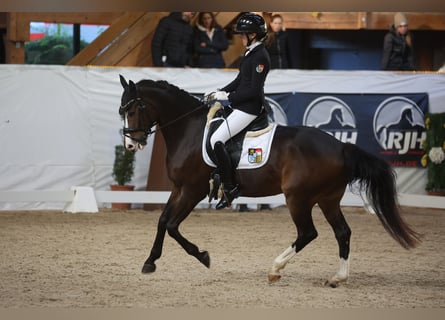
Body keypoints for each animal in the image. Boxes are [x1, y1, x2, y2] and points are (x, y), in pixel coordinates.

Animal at [116, 75, 418, 288]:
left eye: (134, 109)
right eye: (122, 111)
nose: (131, 145)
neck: (190, 130)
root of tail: (341, 146)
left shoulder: (193, 190)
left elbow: (172, 225)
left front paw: (203, 256)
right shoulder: (179, 189)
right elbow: (162, 222)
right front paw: (150, 262)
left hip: (298, 198)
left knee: (308, 233)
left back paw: (275, 270)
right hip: (327, 199)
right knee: (342, 232)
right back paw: (337, 278)